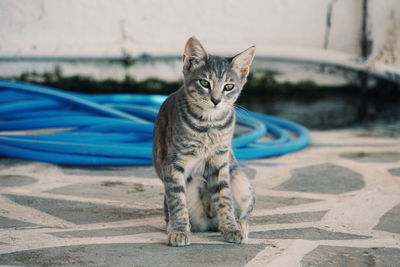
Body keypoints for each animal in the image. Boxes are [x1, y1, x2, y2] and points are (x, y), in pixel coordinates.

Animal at [152, 36, 255, 248]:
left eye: (228, 86)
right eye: (204, 83)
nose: (216, 100)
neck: (209, 125)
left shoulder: (220, 161)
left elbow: (225, 198)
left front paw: (232, 228)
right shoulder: (174, 163)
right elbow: (177, 201)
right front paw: (179, 231)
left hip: (240, 180)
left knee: (244, 209)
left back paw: (240, 224)